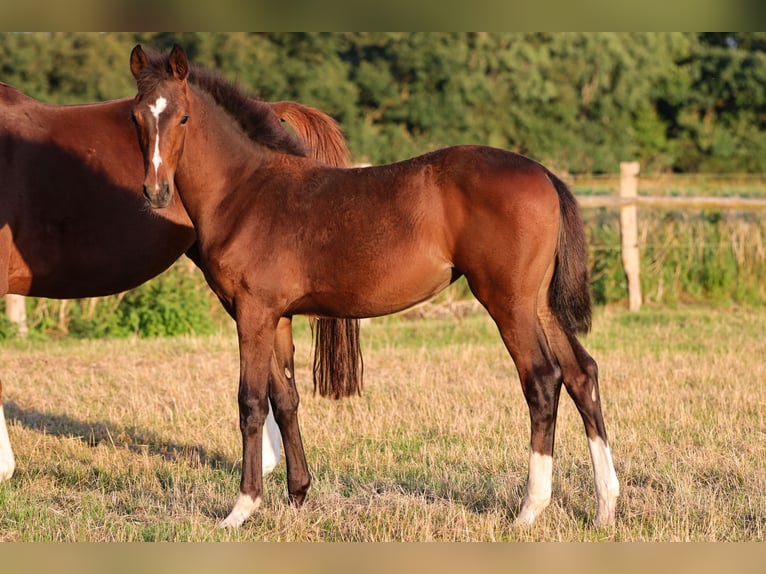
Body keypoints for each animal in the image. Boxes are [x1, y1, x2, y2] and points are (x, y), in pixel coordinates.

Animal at [132, 45, 620, 532]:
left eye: (183, 117)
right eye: (137, 117)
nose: (155, 193)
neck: (247, 192)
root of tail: (545, 175)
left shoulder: (253, 312)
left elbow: (251, 403)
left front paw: (241, 509)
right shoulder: (277, 316)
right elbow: (286, 399)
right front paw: (298, 495)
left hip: (509, 303)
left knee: (542, 380)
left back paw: (529, 510)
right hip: (539, 304)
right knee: (582, 373)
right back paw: (604, 506)